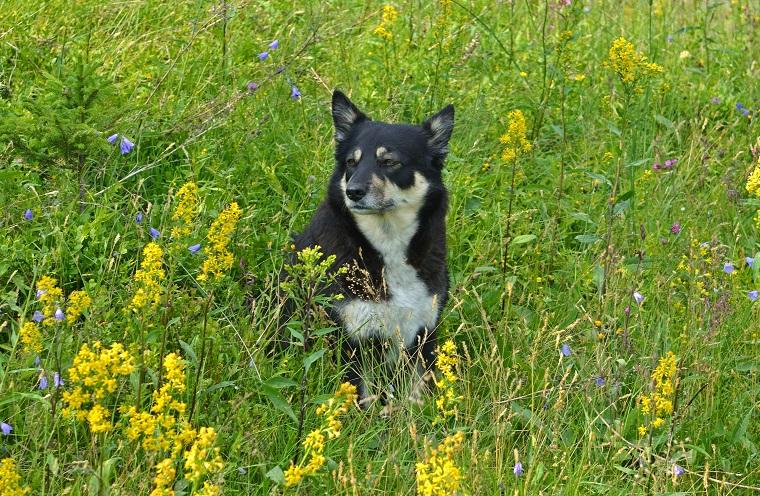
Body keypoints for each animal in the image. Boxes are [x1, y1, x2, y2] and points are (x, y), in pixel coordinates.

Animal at [286, 89, 452, 406]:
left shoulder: (423, 334)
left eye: (389, 162)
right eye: (352, 162)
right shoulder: (352, 341)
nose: (353, 192)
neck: (386, 247)